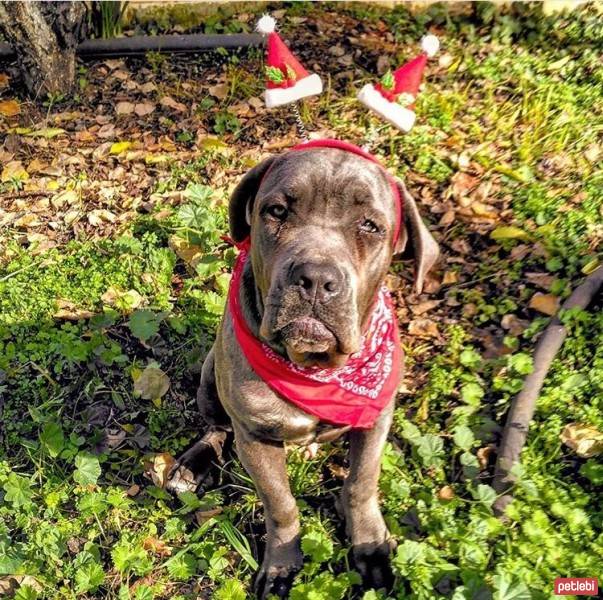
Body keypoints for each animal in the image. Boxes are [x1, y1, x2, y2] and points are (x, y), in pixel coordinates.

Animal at [168, 146, 442, 600]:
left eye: (370, 225)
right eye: (277, 210)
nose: (315, 277)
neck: (314, 369)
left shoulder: (376, 418)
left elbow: (362, 482)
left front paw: (370, 547)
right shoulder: (256, 436)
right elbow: (281, 505)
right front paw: (281, 565)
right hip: (210, 376)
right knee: (216, 427)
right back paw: (194, 464)